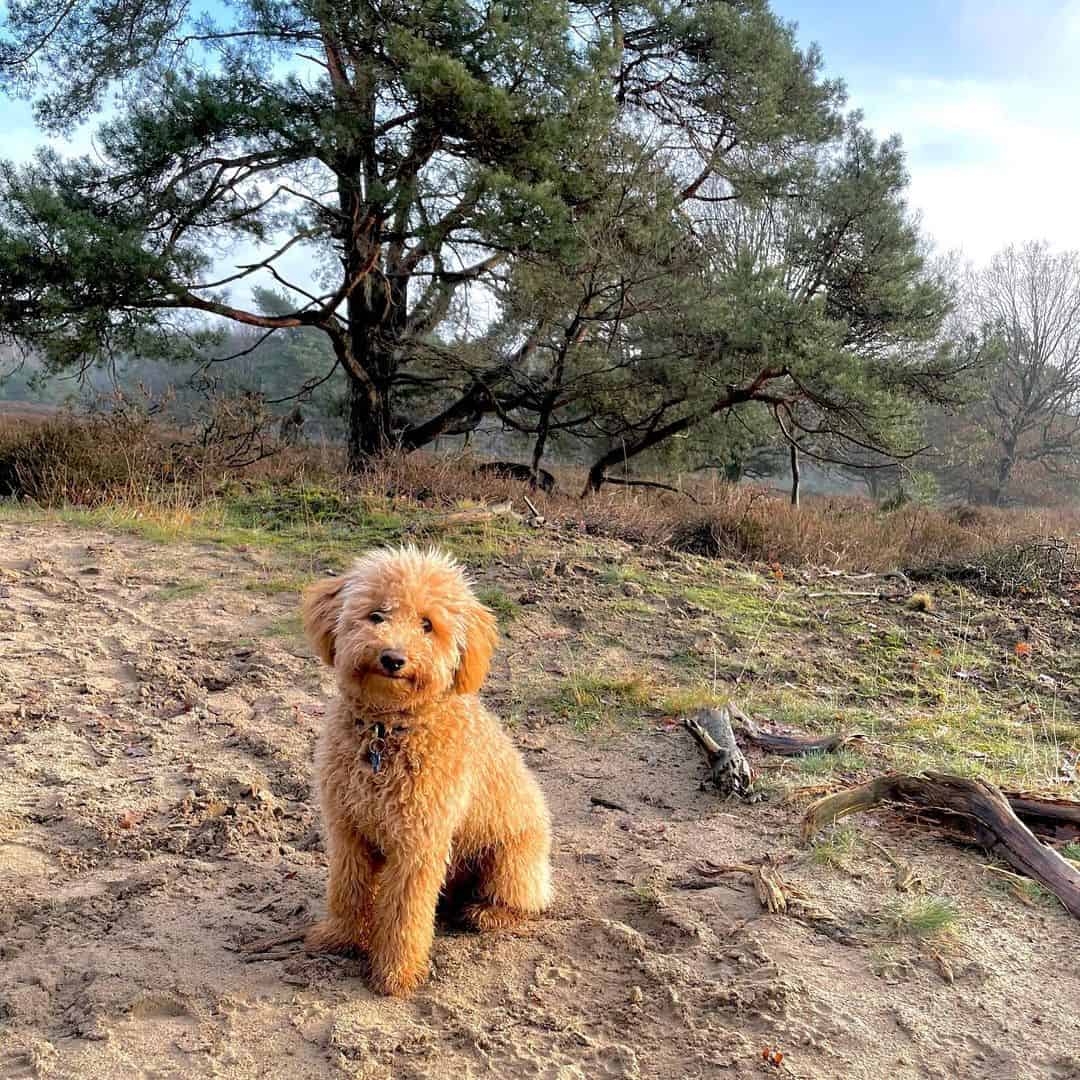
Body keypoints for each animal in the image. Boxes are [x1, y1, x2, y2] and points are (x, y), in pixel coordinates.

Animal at [300, 548, 552, 993]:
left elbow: (404, 916)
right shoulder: (348, 830)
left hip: (512, 859)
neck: (385, 731)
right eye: (377, 614)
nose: (393, 658)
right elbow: (347, 890)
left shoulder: (418, 845)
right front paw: (340, 938)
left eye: (427, 624)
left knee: (525, 902)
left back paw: (486, 913)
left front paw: (395, 975)